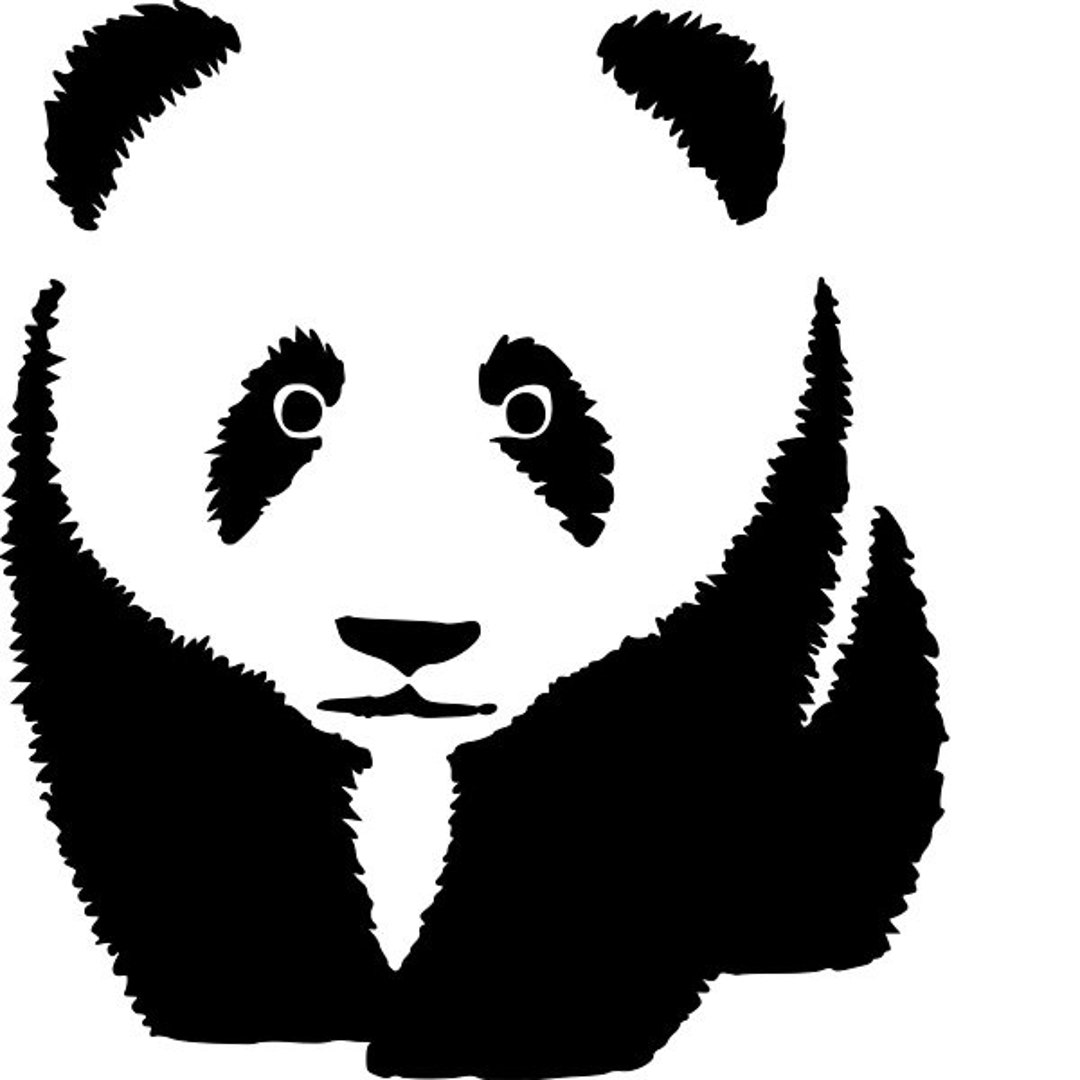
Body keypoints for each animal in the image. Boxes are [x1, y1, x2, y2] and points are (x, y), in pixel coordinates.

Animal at [4, 3, 944, 1079]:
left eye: (533, 404)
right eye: (292, 403)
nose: (404, 637)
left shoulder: (750, 527)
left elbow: (633, 755)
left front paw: (494, 1024)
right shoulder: (100, 549)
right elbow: (184, 742)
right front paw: (275, 1001)